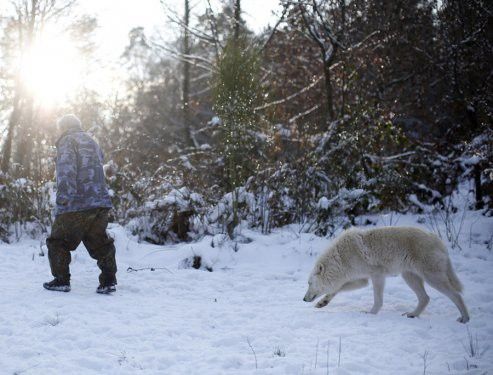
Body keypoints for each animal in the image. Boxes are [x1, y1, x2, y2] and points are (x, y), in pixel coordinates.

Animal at [304, 226, 468, 324]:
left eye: (309, 283)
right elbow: (336, 289)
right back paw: (412, 314)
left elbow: (378, 300)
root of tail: (439, 241)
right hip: (409, 277)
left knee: (456, 295)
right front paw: (322, 302)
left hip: (431, 278)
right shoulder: (362, 280)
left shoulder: (377, 275)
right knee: (425, 298)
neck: (341, 258)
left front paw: (370, 313)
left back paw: (465, 318)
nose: (304, 299)